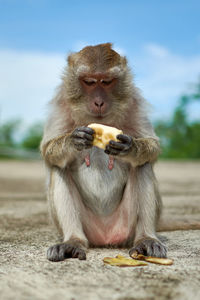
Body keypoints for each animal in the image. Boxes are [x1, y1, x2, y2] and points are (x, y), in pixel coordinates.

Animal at [40, 42, 200, 262]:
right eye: (89, 82)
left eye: (107, 82)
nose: (99, 102)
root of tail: (106, 238)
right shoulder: (61, 101)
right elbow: (48, 151)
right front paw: (75, 140)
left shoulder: (134, 99)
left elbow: (152, 147)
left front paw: (129, 147)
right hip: (88, 226)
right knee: (59, 169)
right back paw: (72, 241)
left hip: (126, 225)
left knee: (142, 166)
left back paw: (145, 239)